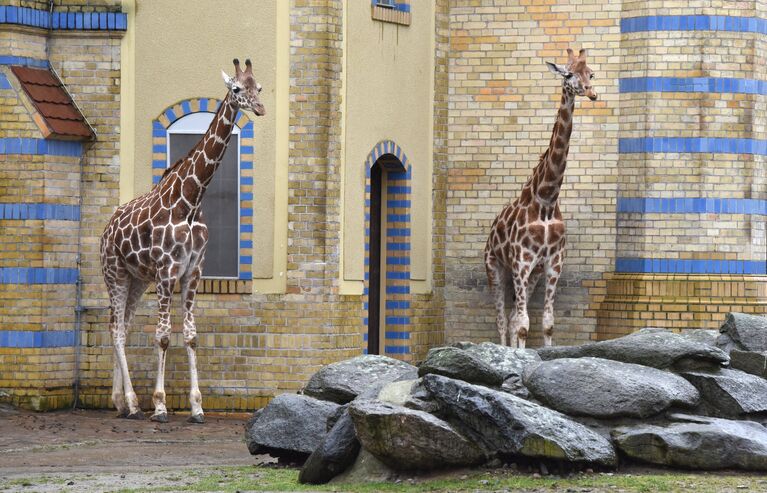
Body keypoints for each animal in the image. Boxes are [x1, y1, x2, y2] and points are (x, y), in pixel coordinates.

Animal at [100, 58, 268, 422]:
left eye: (259, 87)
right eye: (237, 88)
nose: (260, 108)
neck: (191, 200)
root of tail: (106, 230)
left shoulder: (193, 271)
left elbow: (190, 337)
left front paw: (196, 406)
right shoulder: (166, 270)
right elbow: (164, 337)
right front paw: (161, 404)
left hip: (136, 279)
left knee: (122, 326)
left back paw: (120, 401)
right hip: (114, 272)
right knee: (117, 330)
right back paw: (132, 402)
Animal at [486, 49, 600, 350]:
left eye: (591, 73)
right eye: (568, 74)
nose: (592, 93)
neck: (547, 199)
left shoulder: (552, 262)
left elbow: (546, 323)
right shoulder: (520, 261)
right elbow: (523, 324)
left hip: (532, 274)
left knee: (512, 316)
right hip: (495, 267)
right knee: (502, 319)